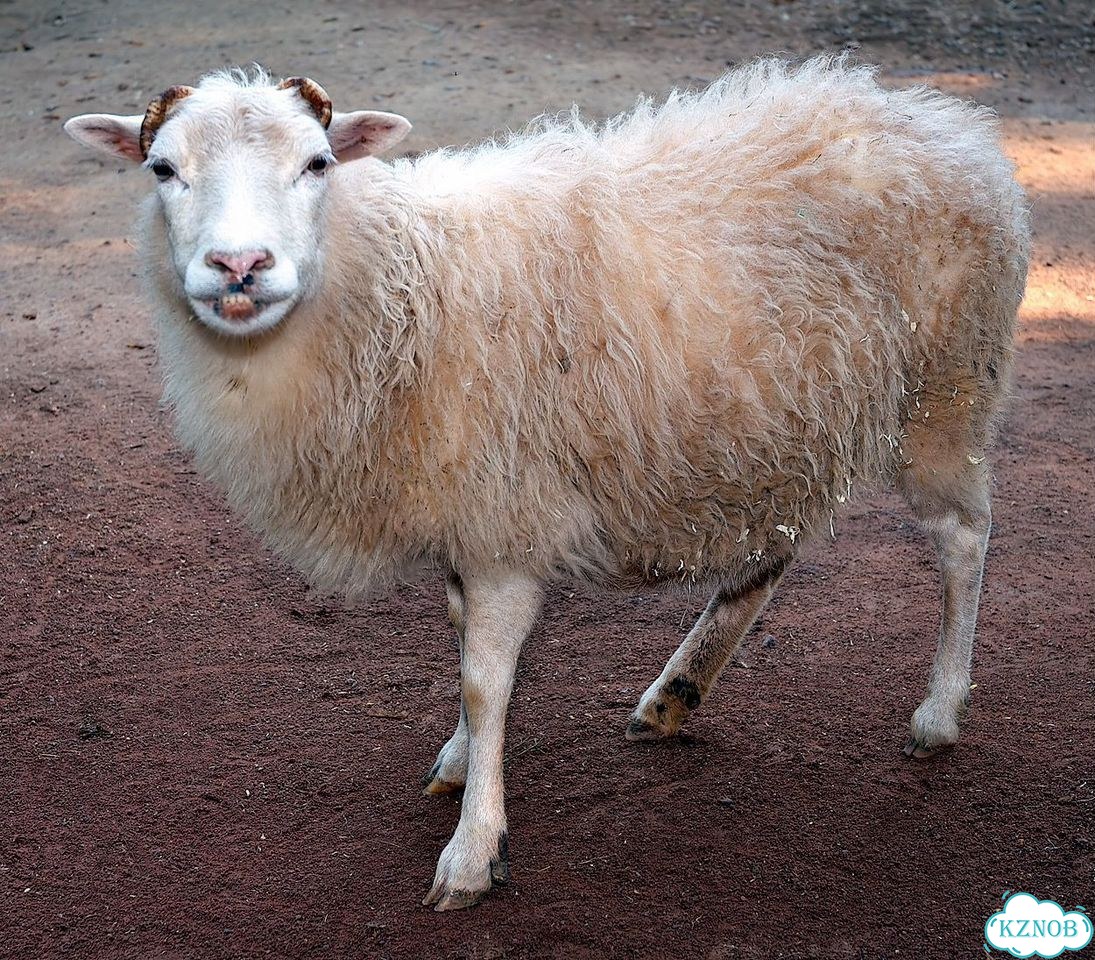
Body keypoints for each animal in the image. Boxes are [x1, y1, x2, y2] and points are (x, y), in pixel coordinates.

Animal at [64, 57, 1030, 911]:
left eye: (317, 163)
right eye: (162, 168)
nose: (239, 267)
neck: (396, 288)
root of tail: (941, 121)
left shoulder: (502, 522)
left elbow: (486, 680)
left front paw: (472, 849)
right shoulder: (470, 517)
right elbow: (462, 650)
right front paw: (459, 763)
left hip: (945, 391)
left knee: (963, 540)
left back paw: (938, 711)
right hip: (779, 423)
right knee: (775, 547)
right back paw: (677, 692)